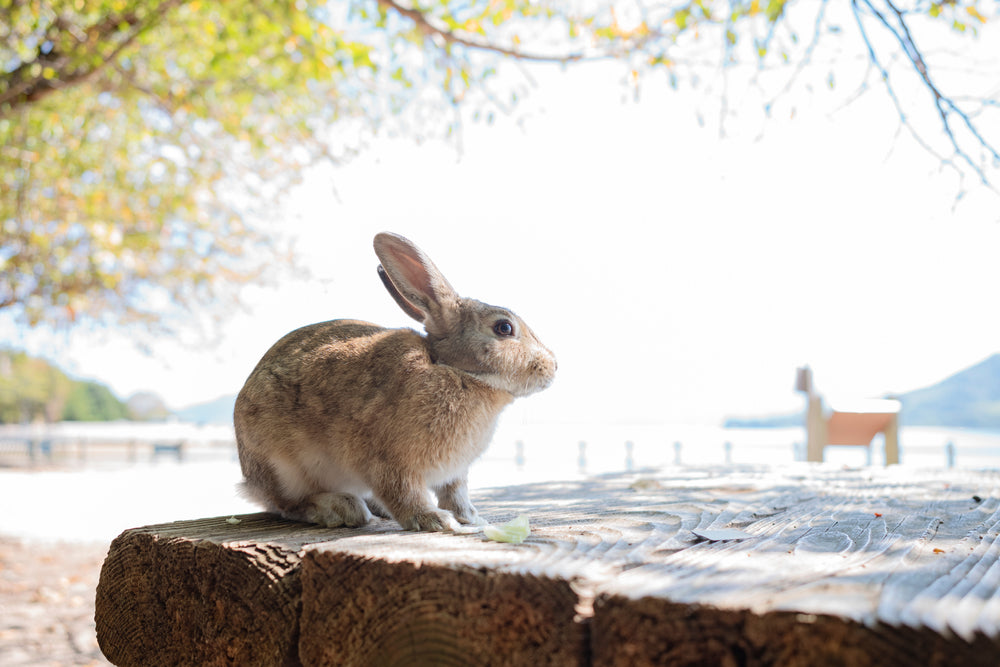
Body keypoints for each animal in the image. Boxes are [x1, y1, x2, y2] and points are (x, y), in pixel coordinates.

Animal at [237, 232, 560, 528]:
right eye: (504, 328)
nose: (554, 366)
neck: (453, 370)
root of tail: (249, 478)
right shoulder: (388, 461)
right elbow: (404, 494)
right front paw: (434, 520)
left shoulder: (454, 474)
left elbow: (455, 494)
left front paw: (471, 519)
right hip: (283, 467)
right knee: (287, 505)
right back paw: (342, 509)